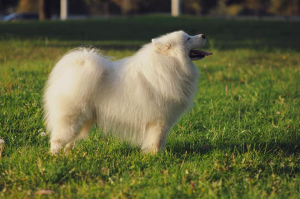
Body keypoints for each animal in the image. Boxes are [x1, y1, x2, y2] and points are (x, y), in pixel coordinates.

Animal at [44, 30, 213, 154]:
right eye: (188, 38)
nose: (204, 35)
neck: (170, 64)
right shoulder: (159, 121)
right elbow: (156, 141)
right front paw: (156, 157)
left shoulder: (163, 122)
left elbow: (160, 141)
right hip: (72, 119)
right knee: (57, 140)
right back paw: (55, 158)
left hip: (84, 121)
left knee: (70, 142)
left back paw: (68, 156)